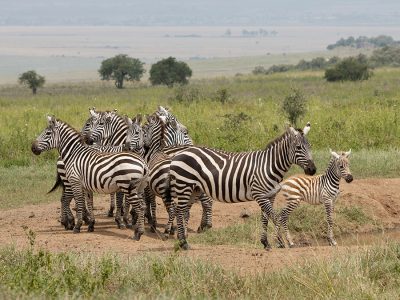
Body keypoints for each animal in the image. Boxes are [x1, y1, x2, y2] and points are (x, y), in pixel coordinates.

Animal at [169, 123, 316, 250]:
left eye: (310, 146)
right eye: (298, 148)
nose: (312, 170)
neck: (269, 166)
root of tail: (179, 153)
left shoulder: (270, 195)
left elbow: (266, 218)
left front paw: (266, 242)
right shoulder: (259, 194)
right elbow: (275, 217)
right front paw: (282, 241)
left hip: (194, 189)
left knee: (184, 211)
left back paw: (183, 240)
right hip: (184, 185)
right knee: (179, 211)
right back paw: (183, 243)